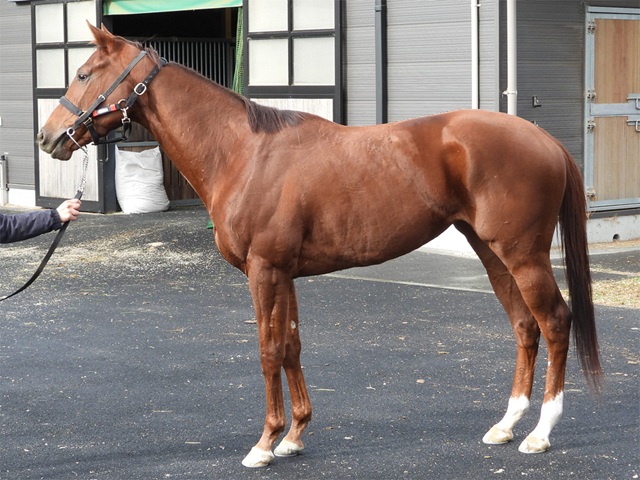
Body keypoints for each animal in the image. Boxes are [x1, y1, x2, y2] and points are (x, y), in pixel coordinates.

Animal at [38, 24, 601, 468]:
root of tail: (544, 139)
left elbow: (268, 350)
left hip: (522, 255)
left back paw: (540, 434)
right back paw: (506, 425)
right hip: (491, 253)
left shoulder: (264, 270)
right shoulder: (283, 273)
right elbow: (291, 346)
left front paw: (264, 444)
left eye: (84, 74)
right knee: (525, 326)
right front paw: (294, 436)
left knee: (555, 322)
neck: (242, 152)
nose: (49, 137)